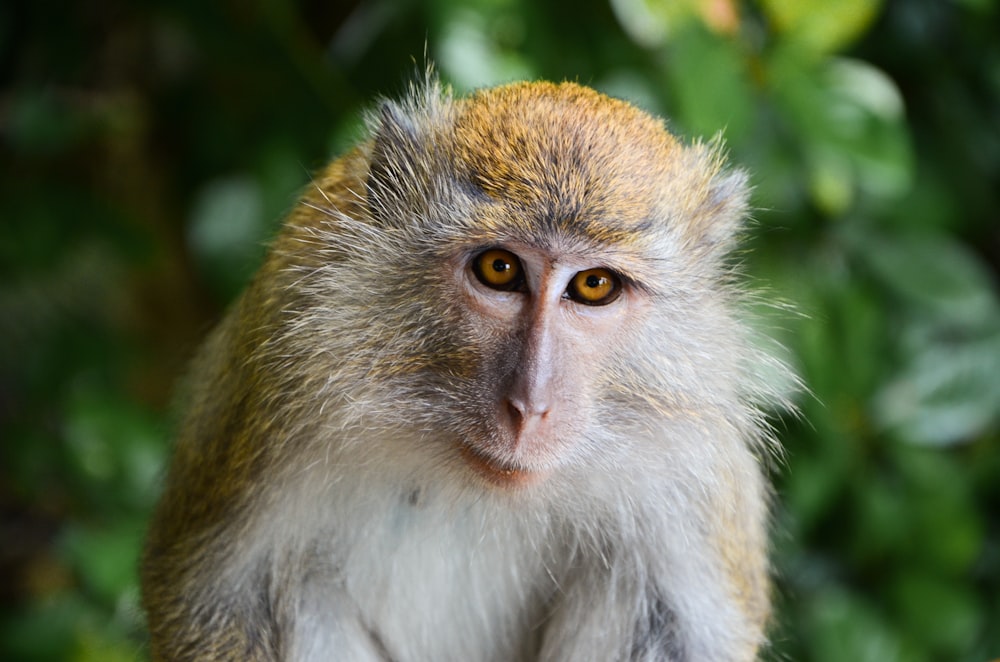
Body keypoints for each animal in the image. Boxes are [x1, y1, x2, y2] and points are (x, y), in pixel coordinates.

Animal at [141, 75, 792, 660]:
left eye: (594, 285)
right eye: (499, 269)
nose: (530, 407)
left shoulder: (694, 466)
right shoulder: (284, 370)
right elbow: (219, 597)